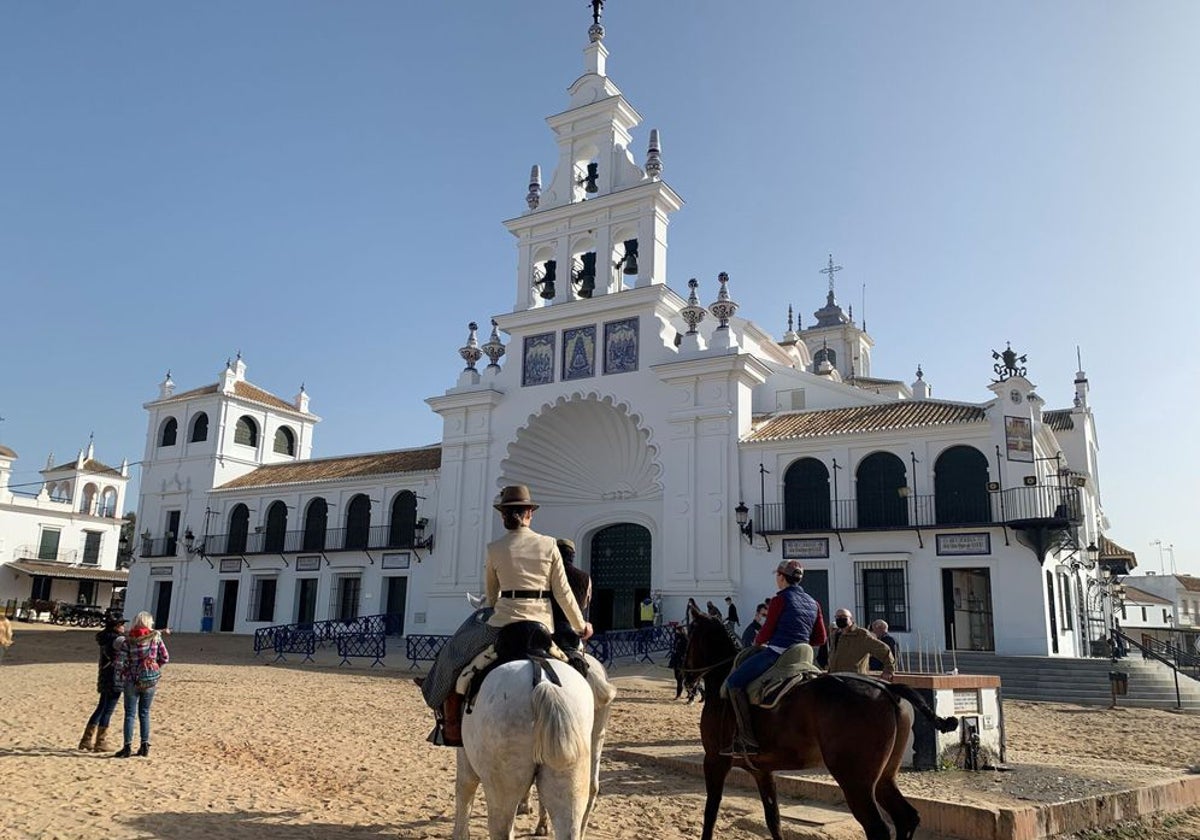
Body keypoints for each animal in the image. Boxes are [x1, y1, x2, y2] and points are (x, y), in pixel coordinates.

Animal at [453, 657, 595, 835]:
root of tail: (544, 683)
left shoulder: (464, 756)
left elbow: (465, 790)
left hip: (502, 786)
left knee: (501, 828)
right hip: (571, 779)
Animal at [686, 609, 955, 840]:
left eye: (688, 637)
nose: (685, 676)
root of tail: (887, 688)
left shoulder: (715, 760)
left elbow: (710, 813)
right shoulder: (762, 770)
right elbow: (773, 820)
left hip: (855, 780)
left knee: (877, 828)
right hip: (884, 777)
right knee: (906, 818)